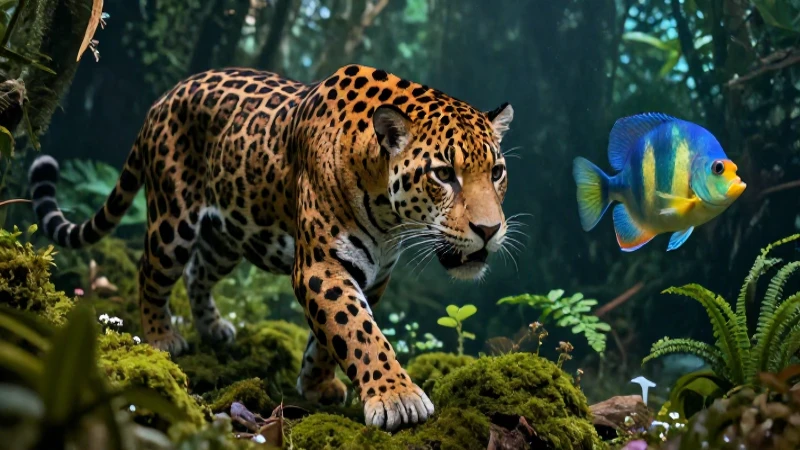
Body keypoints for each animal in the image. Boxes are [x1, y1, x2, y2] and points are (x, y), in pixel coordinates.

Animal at [27, 64, 515, 431]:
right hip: (172, 219)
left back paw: (214, 328)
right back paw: (164, 338)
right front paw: (397, 397)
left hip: (227, 235)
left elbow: (332, 334)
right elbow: (360, 331)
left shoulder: (373, 274)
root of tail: (166, 95)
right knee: (152, 270)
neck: (390, 218)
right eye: (443, 175)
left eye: (496, 173)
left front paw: (317, 384)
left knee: (198, 272)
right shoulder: (322, 265)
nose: (489, 229)